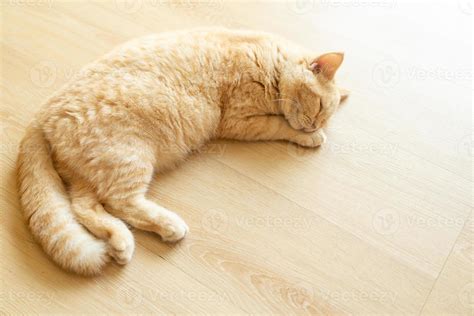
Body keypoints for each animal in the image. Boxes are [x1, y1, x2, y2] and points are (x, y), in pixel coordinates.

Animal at [16, 28, 348, 276]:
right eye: (319, 107)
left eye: (325, 115)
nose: (314, 125)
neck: (269, 61)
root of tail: (44, 113)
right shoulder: (239, 121)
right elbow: (280, 126)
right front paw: (309, 137)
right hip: (129, 158)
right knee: (121, 202)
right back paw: (169, 226)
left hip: (92, 171)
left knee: (85, 208)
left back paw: (121, 243)